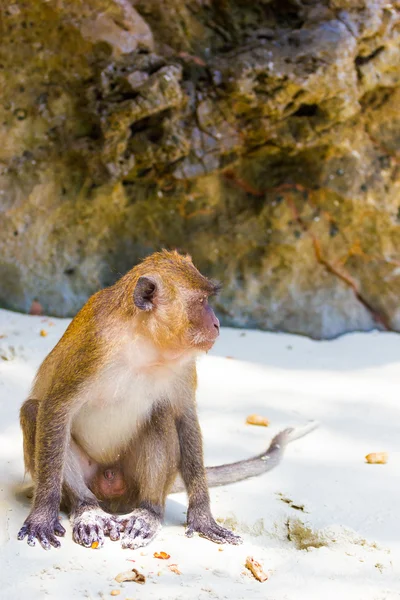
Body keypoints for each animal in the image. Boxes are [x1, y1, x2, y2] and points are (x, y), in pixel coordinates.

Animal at [17, 251, 316, 552]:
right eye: (202, 301)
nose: (217, 323)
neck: (145, 343)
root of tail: (111, 492)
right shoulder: (92, 348)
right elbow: (57, 408)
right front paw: (43, 515)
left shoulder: (184, 365)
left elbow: (185, 417)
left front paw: (202, 515)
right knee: (34, 411)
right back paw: (87, 509)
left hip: (132, 484)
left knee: (161, 415)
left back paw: (148, 513)